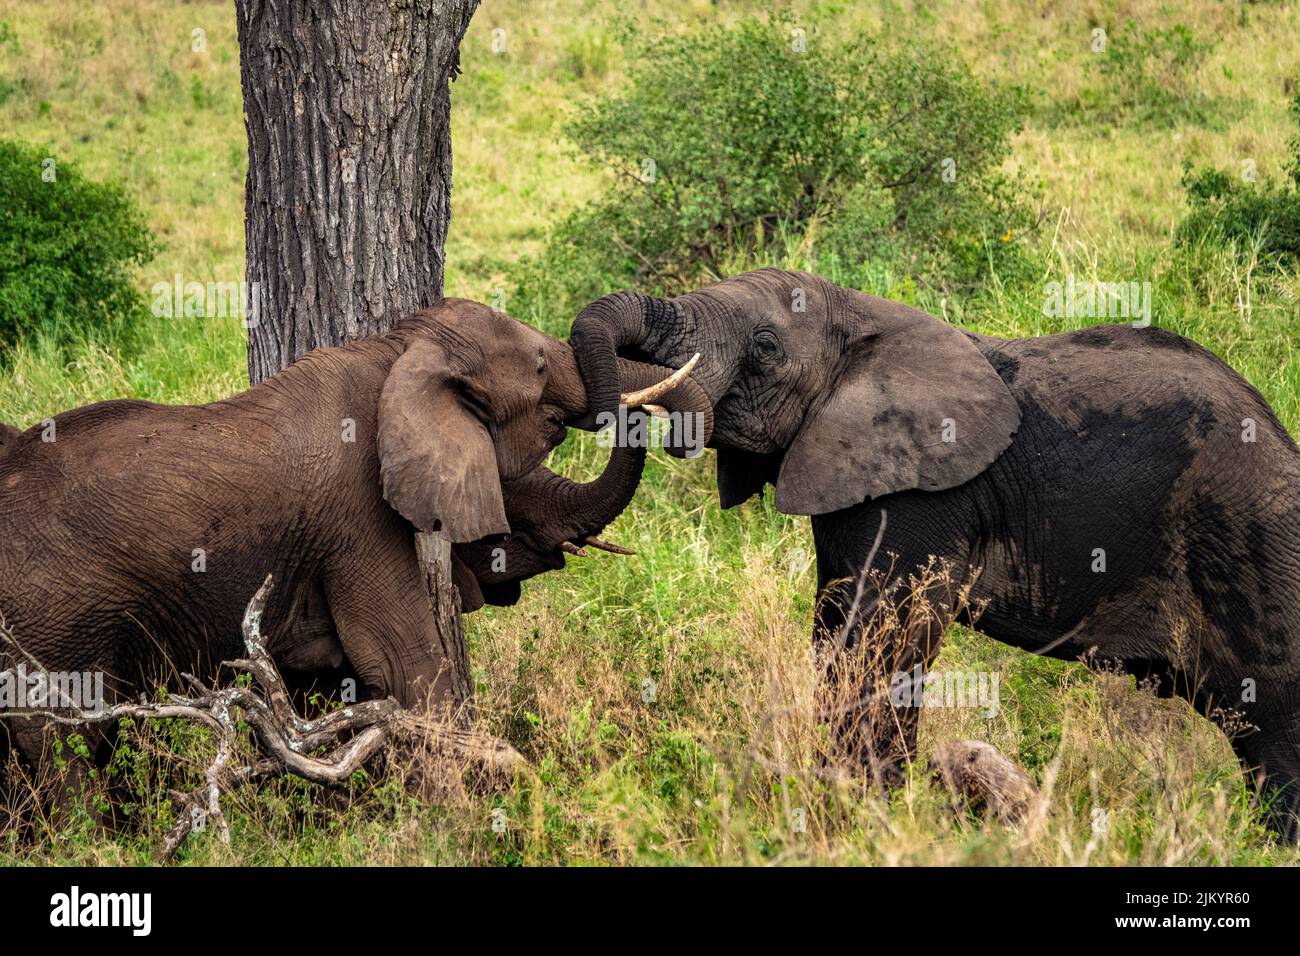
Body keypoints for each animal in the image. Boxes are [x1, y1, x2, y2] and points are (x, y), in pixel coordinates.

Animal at [2, 300, 712, 790]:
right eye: (539, 365)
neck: (399, 348)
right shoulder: (360, 519)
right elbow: (407, 670)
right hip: (48, 626)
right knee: (59, 752)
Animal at [574, 267, 1300, 837]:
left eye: (765, 346)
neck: (859, 315)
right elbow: (835, 628)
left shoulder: (926, 497)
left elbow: (882, 638)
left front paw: (864, 820)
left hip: (1253, 542)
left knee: (1274, 723)